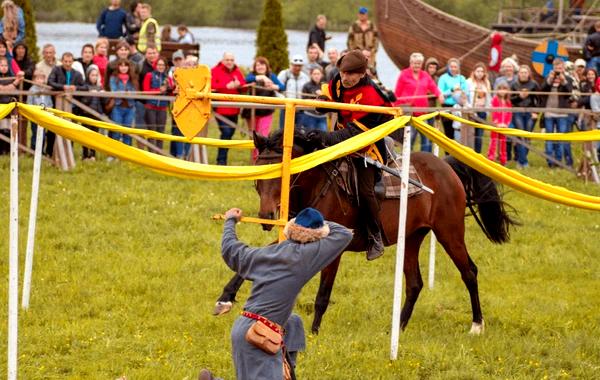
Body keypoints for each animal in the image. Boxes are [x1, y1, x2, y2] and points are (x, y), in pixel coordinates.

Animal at [213, 129, 516, 334]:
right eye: (259, 171)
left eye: (279, 173)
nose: (266, 217)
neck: (318, 186)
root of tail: (447, 168)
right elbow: (255, 261)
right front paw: (225, 298)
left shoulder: (333, 251)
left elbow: (323, 294)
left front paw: (314, 332)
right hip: (412, 238)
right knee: (415, 283)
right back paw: (398, 328)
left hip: (449, 232)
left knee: (469, 273)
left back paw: (476, 324)